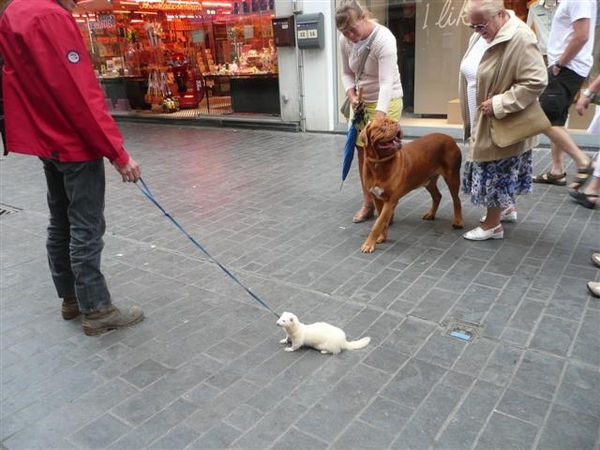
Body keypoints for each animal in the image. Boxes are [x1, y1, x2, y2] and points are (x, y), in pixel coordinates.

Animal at [356, 117, 464, 253]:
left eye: (393, 122)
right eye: (384, 125)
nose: (397, 124)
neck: (378, 163)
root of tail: (450, 138)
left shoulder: (390, 200)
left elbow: (378, 223)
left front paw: (369, 244)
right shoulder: (376, 197)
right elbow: (381, 219)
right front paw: (381, 237)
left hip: (452, 177)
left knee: (456, 199)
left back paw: (458, 221)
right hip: (428, 180)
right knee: (437, 196)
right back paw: (431, 214)